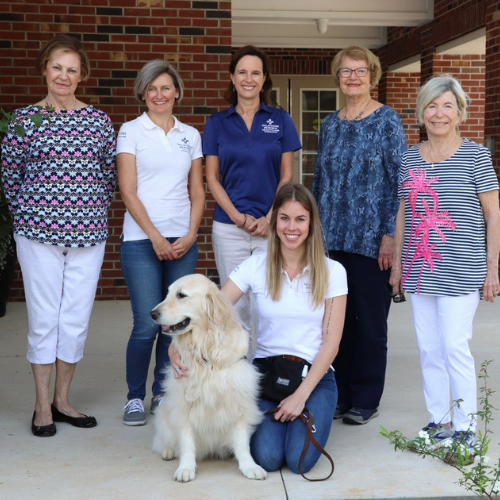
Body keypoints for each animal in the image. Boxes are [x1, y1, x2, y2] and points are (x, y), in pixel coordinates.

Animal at [149, 272, 268, 482]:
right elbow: (186, 441)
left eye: (181, 295)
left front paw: (250, 467)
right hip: (163, 412)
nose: (152, 314)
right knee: (163, 438)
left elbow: (242, 442)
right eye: (168, 293)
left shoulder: (239, 400)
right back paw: (168, 451)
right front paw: (186, 468)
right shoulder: (183, 403)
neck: (204, 347)